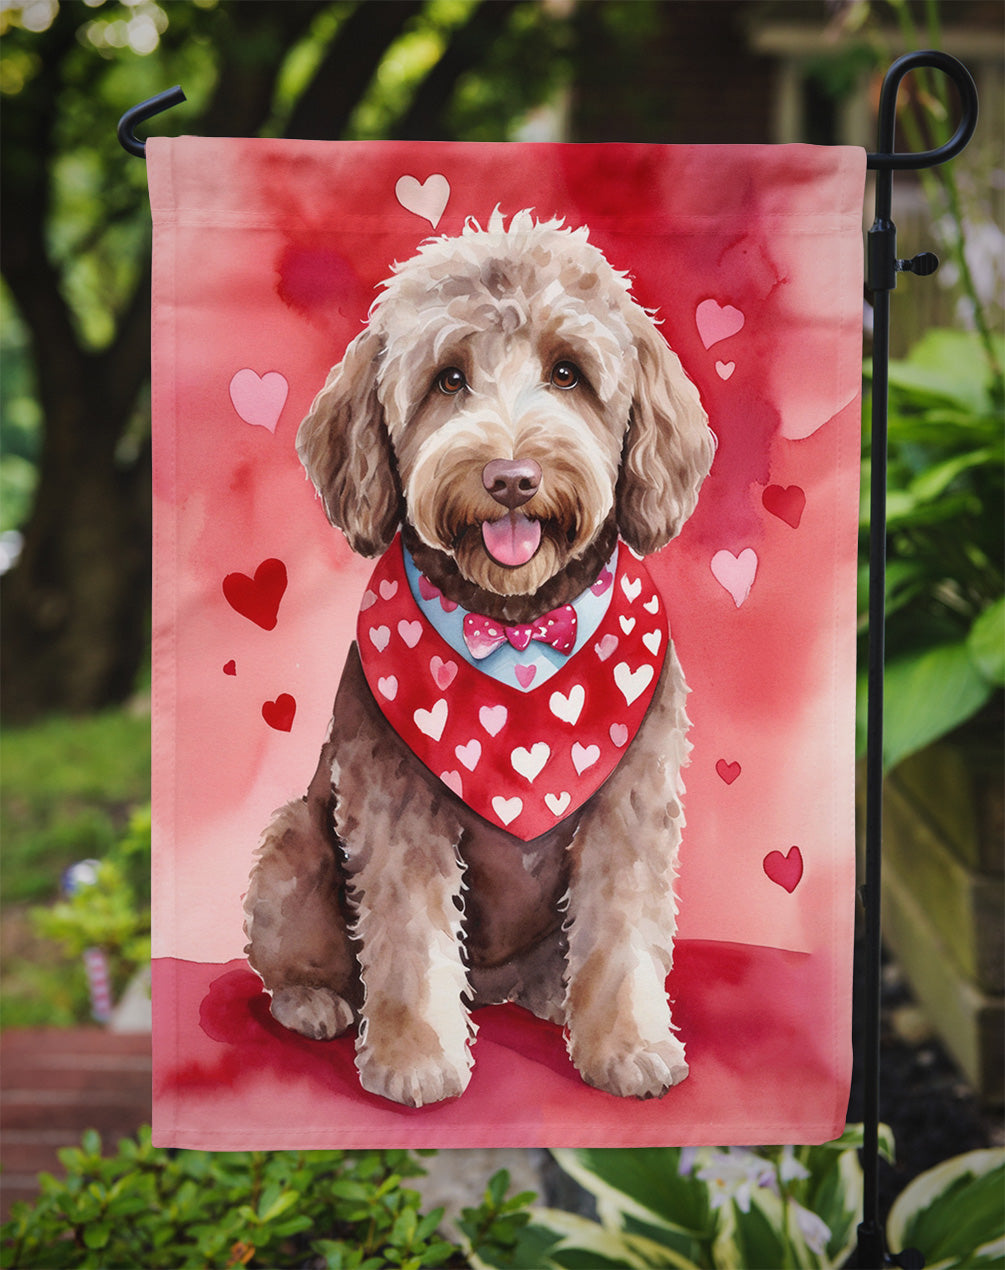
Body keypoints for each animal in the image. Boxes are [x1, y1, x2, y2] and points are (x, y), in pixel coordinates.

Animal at [243, 208, 716, 1102]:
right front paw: (414, 1059)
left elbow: (623, 933)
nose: (510, 478)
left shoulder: (630, 804)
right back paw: (314, 1003)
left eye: (568, 373)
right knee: (305, 956)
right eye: (448, 380)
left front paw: (629, 1048)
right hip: (293, 845)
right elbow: (406, 940)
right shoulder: (394, 810)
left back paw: (553, 997)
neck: (516, 628)